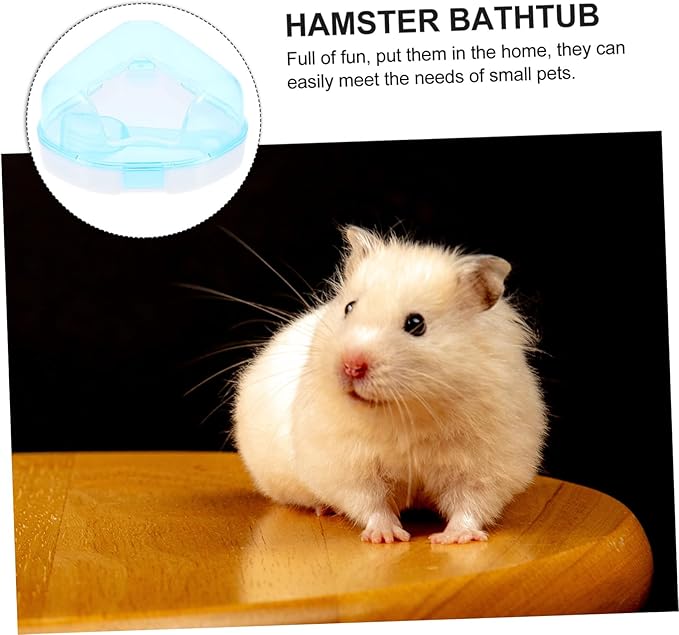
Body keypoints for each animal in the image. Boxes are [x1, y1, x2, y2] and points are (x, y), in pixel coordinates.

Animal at [233, 226, 547, 544]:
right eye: (349, 307)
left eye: (416, 324)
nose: (351, 366)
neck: (406, 411)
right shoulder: (348, 464)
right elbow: (371, 502)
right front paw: (387, 537)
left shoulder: (486, 465)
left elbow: (471, 503)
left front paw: (453, 538)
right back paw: (324, 509)